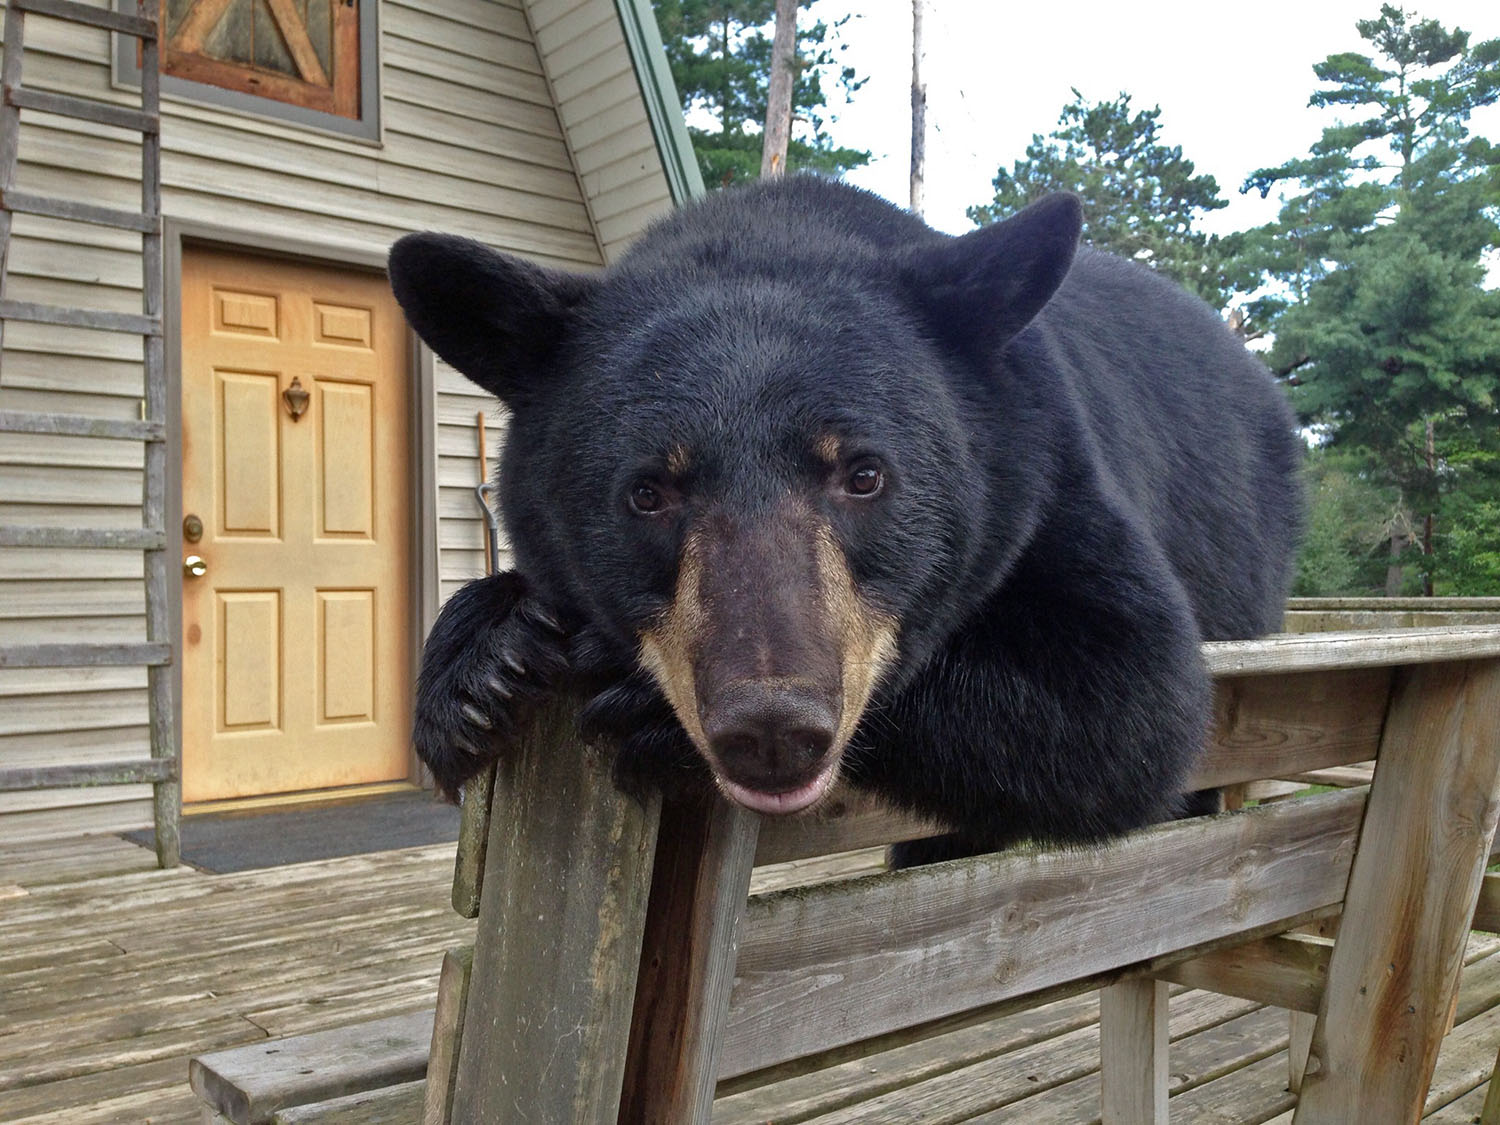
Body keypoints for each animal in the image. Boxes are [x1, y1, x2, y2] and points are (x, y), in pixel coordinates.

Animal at [387, 176, 1303, 855]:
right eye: (646, 491)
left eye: (864, 474)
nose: (771, 730)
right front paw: (483, 659)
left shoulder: (1051, 472)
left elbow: (1136, 699)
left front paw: (641, 706)